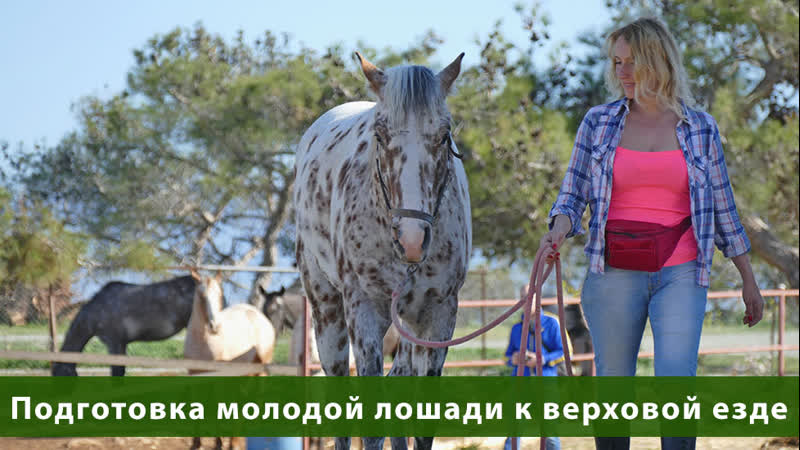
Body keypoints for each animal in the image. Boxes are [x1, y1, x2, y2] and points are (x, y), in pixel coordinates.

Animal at [183, 272, 276, 450]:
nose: (214, 326)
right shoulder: (194, 376)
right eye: (201, 295)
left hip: (260, 370)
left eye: (220, 295)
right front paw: (196, 444)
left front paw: (219, 443)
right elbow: (196, 407)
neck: (204, 340)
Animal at [294, 52, 471, 450]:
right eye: (380, 135)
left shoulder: (438, 316)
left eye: (444, 135)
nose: (412, 239)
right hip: (327, 311)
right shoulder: (364, 311)